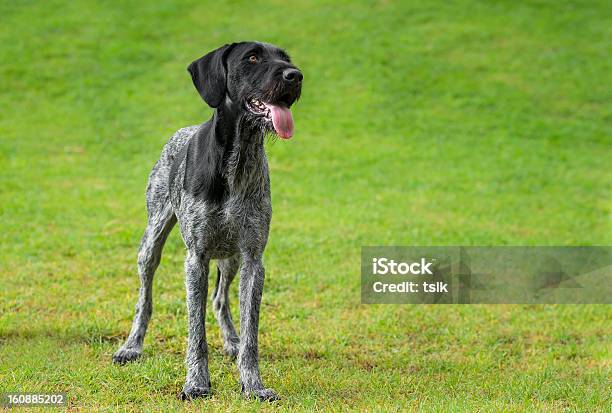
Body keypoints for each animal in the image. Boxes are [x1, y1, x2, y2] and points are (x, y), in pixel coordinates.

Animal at [112, 41, 304, 400]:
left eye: (285, 58)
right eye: (252, 58)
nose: (295, 75)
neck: (237, 158)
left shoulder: (253, 259)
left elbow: (251, 333)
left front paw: (252, 384)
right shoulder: (196, 259)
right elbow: (195, 332)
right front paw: (197, 382)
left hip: (230, 258)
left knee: (219, 299)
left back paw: (231, 340)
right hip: (151, 242)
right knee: (145, 298)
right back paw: (132, 346)